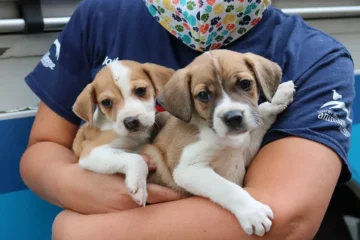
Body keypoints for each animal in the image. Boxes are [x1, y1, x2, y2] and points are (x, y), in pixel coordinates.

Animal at [71, 60, 174, 206]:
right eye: (106, 102)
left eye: (140, 90)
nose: (131, 121)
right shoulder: (91, 152)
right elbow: (135, 158)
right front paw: (138, 186)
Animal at [142, 49, 296, 236]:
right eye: (203, 95)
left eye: (245, 84)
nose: (234, 117)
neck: (219, 136)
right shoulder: (188, 169)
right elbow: (226, 188)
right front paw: (252, 212)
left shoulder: (245, 152)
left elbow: (261, 116)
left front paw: (279, 95)